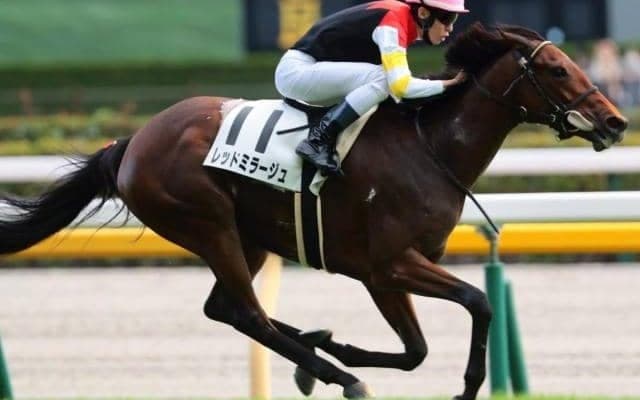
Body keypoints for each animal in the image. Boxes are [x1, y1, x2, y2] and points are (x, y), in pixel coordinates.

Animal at [0, 23, 627, 399]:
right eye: (556, 70)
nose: (617, 121)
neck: (429, 146)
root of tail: (132, 142)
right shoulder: (386, 265)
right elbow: (474, 303)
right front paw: (466, 385)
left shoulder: (390, 272)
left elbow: (416, 351)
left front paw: (335, 343)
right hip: (208, 222)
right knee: (247, 313)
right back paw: (336, 374)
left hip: (247, 237)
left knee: (225, 307)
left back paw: (317, 350)